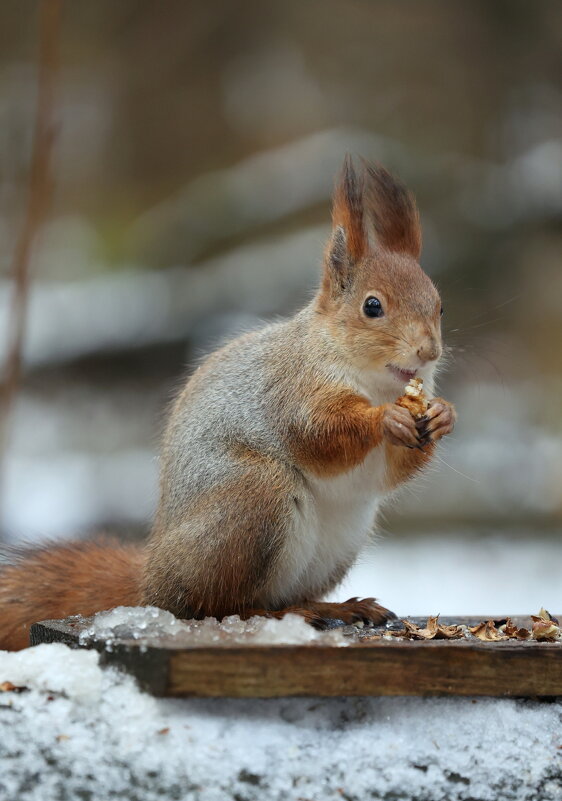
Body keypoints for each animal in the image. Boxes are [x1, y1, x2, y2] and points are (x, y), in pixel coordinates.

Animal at [0, 158, 456, 648]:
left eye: (440, 306)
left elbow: (390, 472)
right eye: (372, 307)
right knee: (218, 605)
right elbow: (319, 434)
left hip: (340, 538)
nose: (428, 352)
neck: (372, 381)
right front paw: (385, 418)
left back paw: (335, 607)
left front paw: (442, 416)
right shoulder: (289, 390)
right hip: (252, 500)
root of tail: (151, 583)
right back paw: (285, 614)